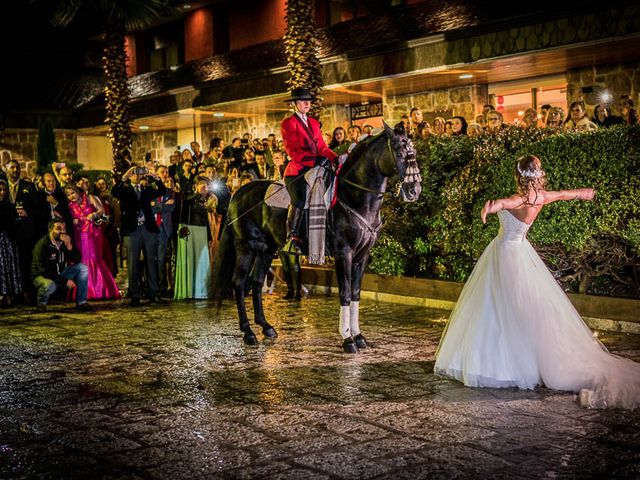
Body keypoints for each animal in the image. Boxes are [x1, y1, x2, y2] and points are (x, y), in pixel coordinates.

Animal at [210, 122, 420, 350]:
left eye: (414, 152)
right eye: (399, 151)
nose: (414, 191)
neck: (354, 196)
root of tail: (238, 193)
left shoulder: (362, 255)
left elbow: (355, 293)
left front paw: (359, 337)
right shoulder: (343, 253)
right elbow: (345, 293)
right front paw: (348, 340)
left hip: (266, 249)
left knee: (256, 283)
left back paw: (266, 327)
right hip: (246, 247)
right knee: (240, 283)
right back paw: (248, 332)